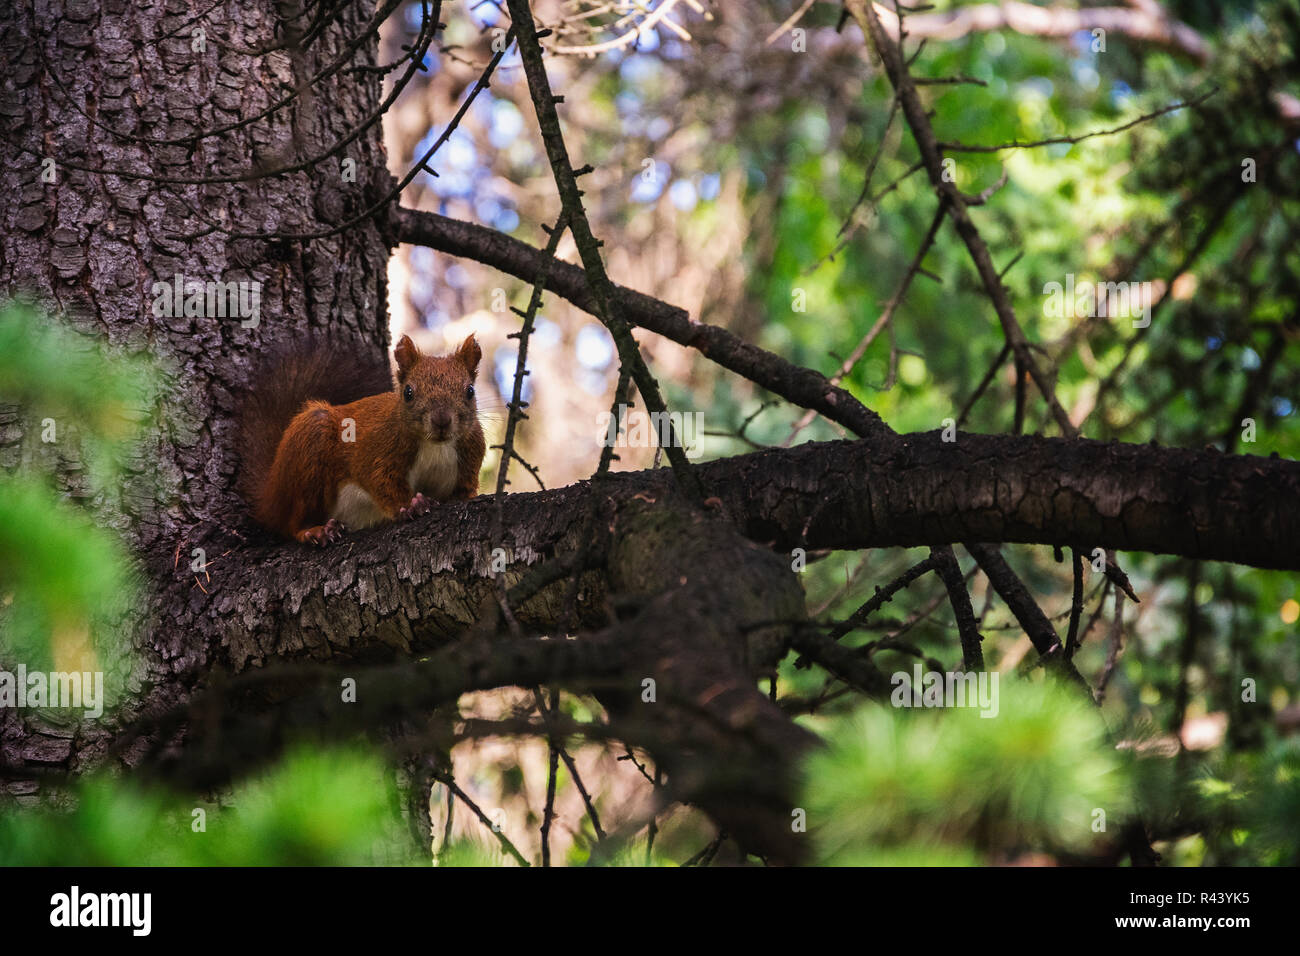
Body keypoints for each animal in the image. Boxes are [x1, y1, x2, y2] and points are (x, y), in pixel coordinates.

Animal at [236, 335, 486, 546]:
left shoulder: (470, 456)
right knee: (291, 523)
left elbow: (464, 491)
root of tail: (271, 493)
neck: (436, 447)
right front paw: (411, 506)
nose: (441, 421)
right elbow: (380, 480)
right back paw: (314, 531)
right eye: (408, 392)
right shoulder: (377, 450)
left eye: (470, 391)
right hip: (308, 451)